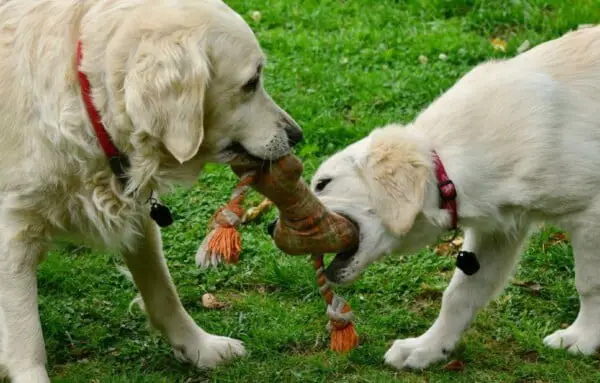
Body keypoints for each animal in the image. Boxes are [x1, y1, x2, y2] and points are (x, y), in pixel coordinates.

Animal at [0, 1, 302, 382]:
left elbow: (163, 292)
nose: (297, 135)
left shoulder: (138, 215)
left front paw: (201, 346)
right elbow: (27, 337)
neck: (88, 102)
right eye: (251, 82)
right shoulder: (13, 233)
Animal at [312, 25, 600, 370]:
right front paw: (428, 347)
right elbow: (459, 294)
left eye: (323, 183)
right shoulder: (500, 230)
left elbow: (589, 284)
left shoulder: (592, 214)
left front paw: (582, 339)